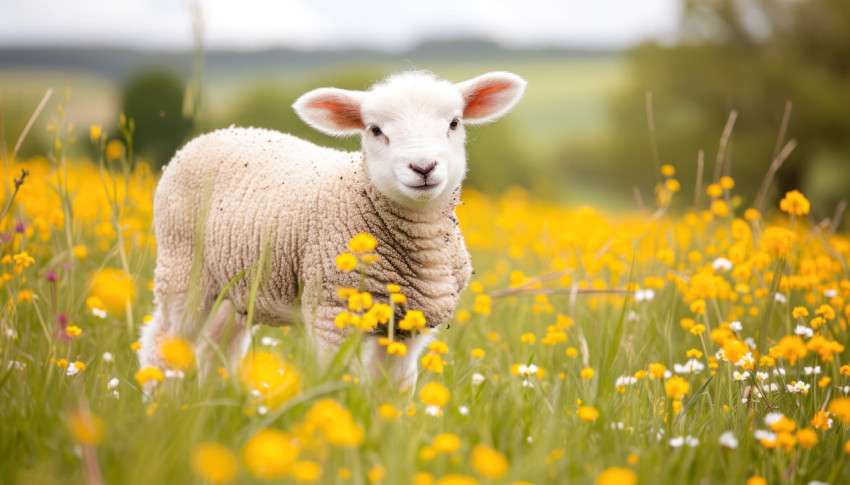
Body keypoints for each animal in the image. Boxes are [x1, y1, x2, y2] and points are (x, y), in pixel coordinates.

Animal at [139, 70, 524, 390]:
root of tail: (220, 132)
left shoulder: (408, 325)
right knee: (164, 341)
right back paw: (160, 404)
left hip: (234, 285)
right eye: (375, 130)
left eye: (454, 123)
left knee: (216, 345)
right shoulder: (330, 310)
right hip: (183, 266)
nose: (423, 167)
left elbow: (393, 392)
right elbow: (329, 380)